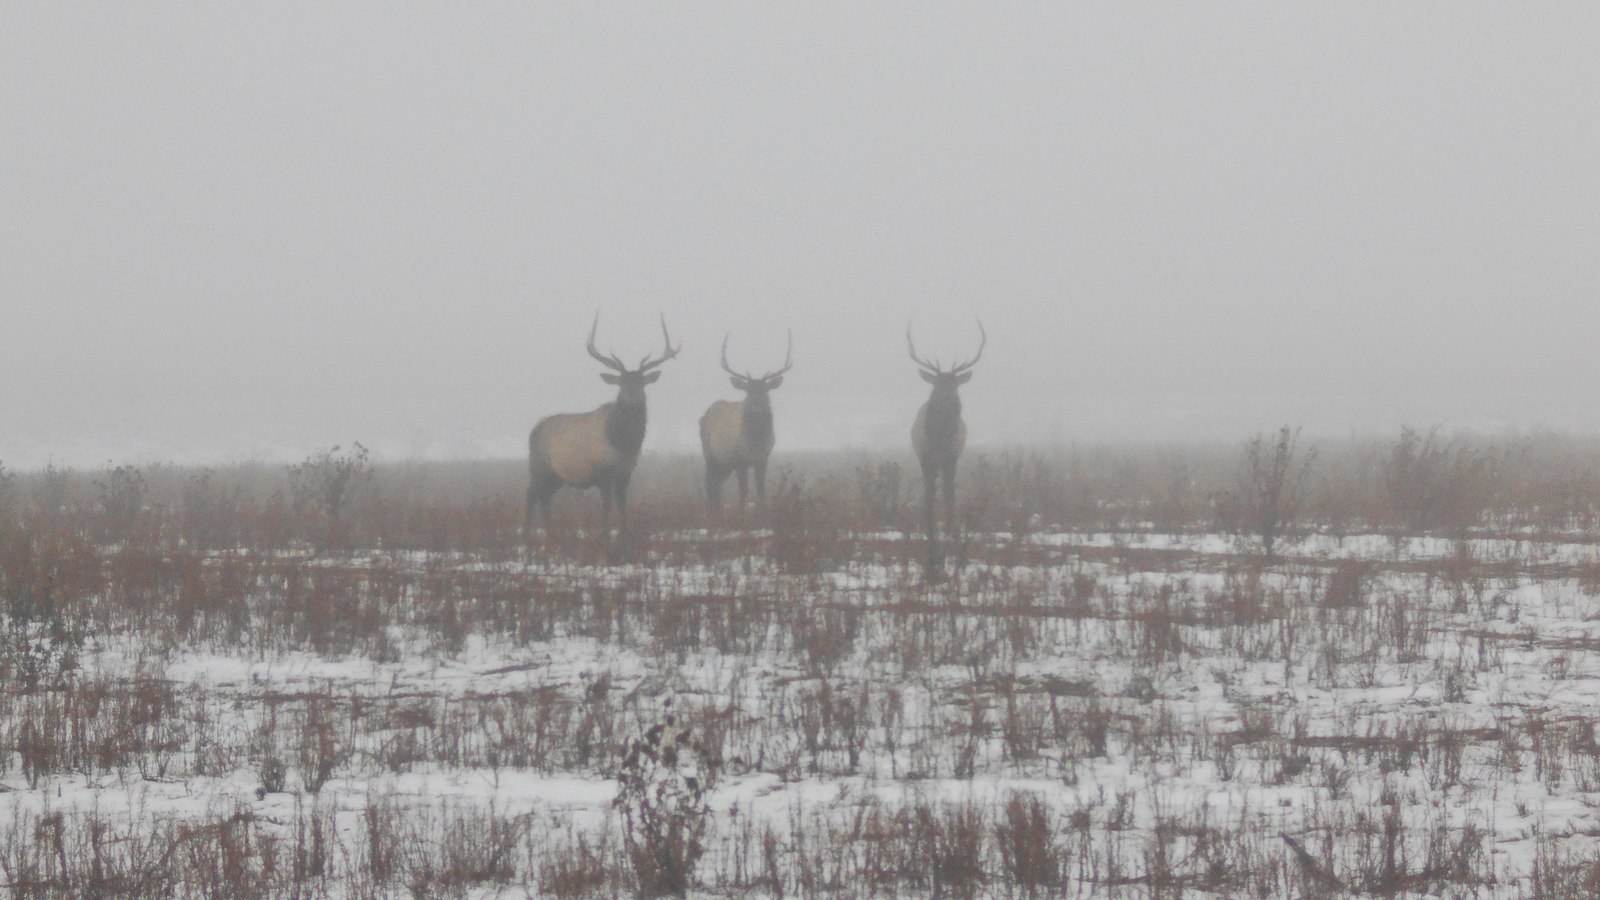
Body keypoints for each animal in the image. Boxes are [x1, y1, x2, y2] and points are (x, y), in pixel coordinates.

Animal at [524, 312, 675, 528]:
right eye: (621, 383)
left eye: (641, 383)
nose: (632, 397)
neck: (624, 443)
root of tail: (534, 429)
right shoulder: (603, 471)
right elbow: (607, 507)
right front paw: (605, 534)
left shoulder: (626, 473)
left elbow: (622, 506)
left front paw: (624, 533)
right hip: (538, 466)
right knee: (531, 496)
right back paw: (527, 533)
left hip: (557, 476)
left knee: (545, 499)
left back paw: (551, 531)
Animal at [704, 329, 796, 512]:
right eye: (748, 391)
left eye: (765, 391)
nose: (756, 409)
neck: (755, 442)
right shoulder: (739, 458)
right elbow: (744, 489)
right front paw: (741, 513)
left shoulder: (764, 457)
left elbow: (760, 489)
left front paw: (763, 511)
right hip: (710, 454)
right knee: (709, 484)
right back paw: (712, 512)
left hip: (724, 464)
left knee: (716, 485)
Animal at [908, 318, 979, 563]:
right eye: (936, 384)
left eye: (955, 384)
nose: (946, 399)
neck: (939, 440)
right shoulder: (926, 458)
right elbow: (929, 497)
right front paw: (931, 538)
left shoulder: (952, 459)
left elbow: (951, 497)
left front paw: (954, 539)